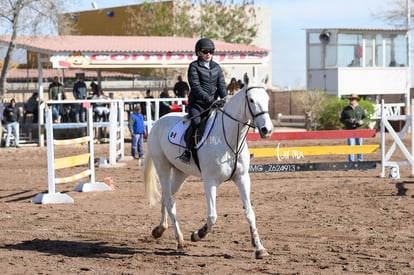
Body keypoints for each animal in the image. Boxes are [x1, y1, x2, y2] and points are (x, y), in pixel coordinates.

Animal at [143, 75, 274, 258]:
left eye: (267, 99)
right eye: (251, 100)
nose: (266, 130)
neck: (231, 140)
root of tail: (158, 122)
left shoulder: (242, 178)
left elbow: (250, 213)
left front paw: (259, 248)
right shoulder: (210, 181)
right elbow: (212, 216)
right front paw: (198, 234)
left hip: (181, 174)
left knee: (165, 197)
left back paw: (160, 229)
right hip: (162, 167)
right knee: (169, 200)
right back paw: (180, 240)